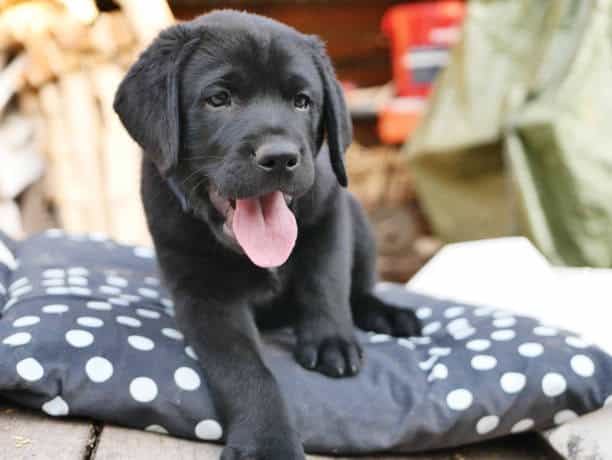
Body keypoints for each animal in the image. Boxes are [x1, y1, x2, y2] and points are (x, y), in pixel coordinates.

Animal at [115, 10, 420, 460]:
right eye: (219, 99)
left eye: (302, 101)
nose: (280, 158)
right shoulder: (202, 293)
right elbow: (242, 367)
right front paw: (267, 440)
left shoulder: (329, 210)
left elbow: (325, 283)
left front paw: (330, 341)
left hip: (359, 219)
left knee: (359, 287)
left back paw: (388, 313)